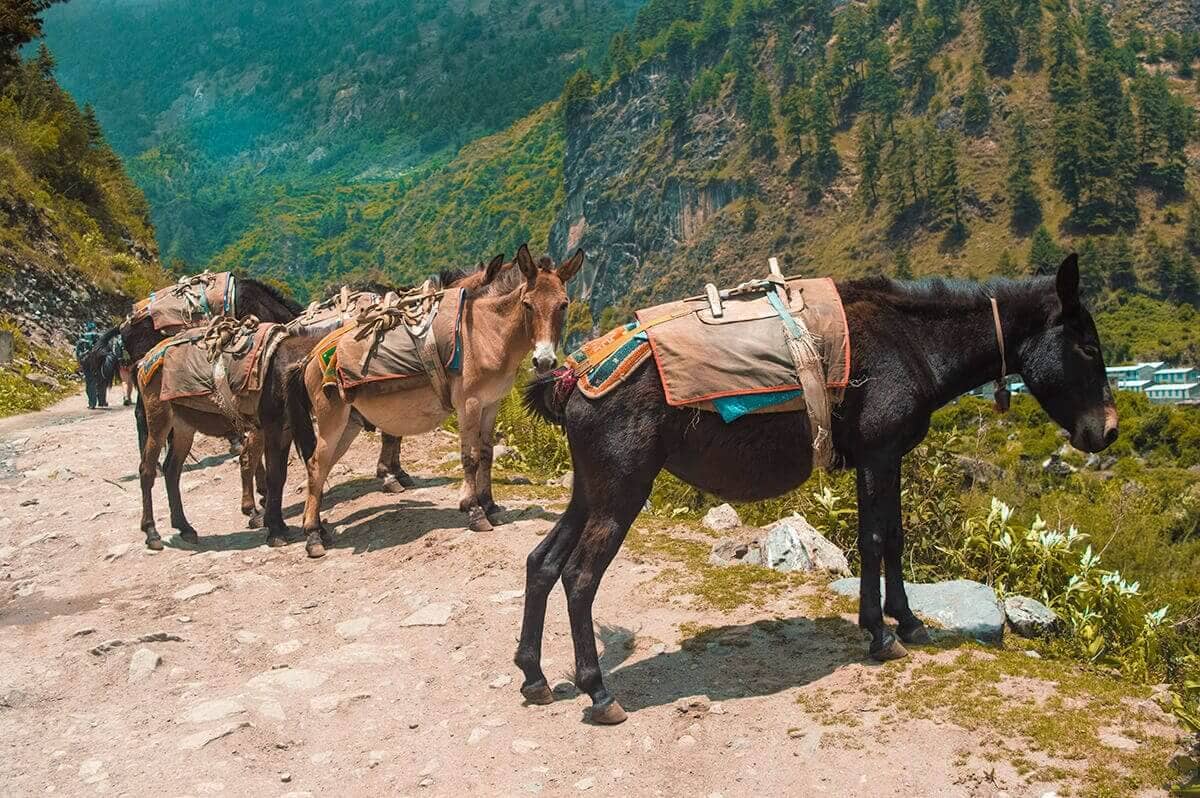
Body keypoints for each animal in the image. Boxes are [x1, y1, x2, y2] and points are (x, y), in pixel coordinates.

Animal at [287, 244, 583, 558]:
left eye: (563, 304)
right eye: (527, 304)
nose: (544, 361)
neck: (488, 334)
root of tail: (310, 357)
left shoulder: (491, 404)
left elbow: (487, 454)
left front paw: (490, 505)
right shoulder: (470, 404)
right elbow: (470, 457)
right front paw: (475, 511)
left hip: (349, 423)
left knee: (320, 466)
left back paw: (319, 529)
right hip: (331, 417)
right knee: (317, 464)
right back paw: (313, 536)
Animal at [515, 255, 1118, 725]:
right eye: (1088, 348)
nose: (1109, 431)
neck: (913, 343)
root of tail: (573, 375)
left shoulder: (885, 458)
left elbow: (893, 537)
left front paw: (908, 622)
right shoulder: (879, 455)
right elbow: (874, 540)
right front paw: (881, 635)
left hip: (590, 489)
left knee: (542, 561)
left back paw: (534, 677)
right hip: (623, 489)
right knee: (579, 577)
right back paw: (598, 691)